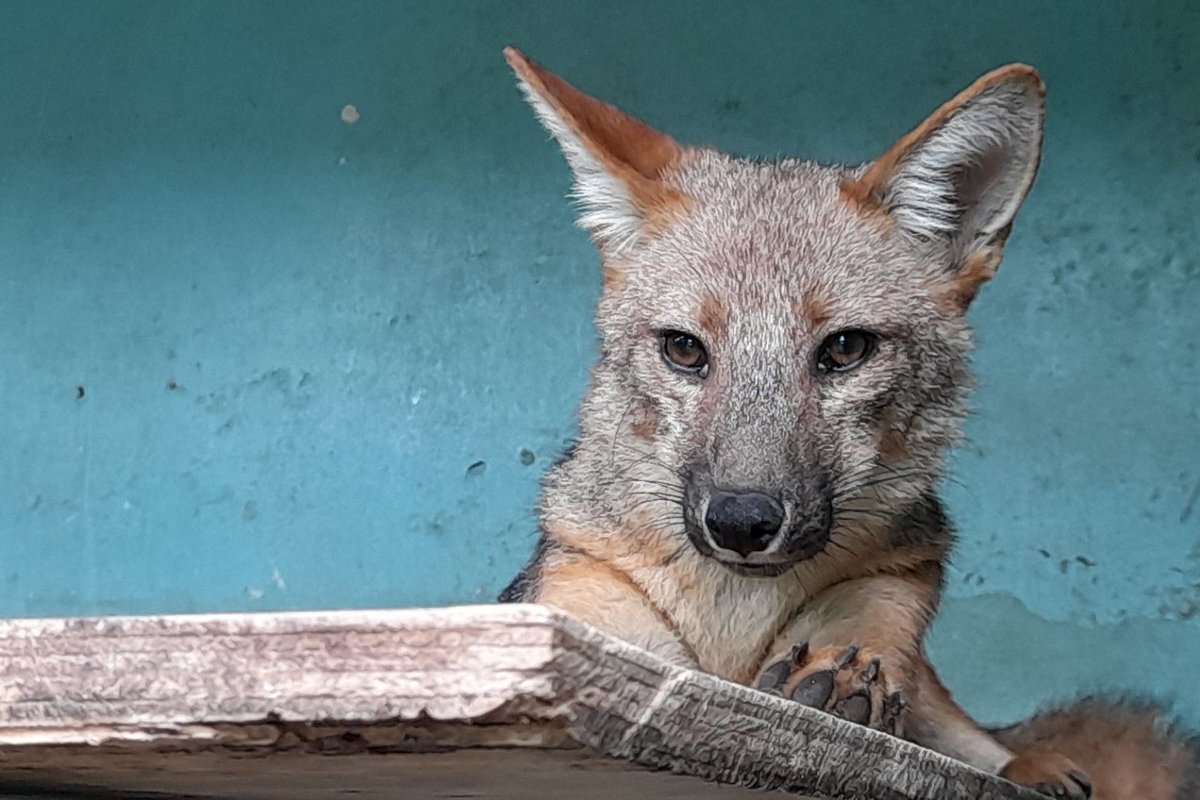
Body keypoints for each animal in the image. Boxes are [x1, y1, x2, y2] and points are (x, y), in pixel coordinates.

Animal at [495, 47, 1199, 800]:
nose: (741, 520)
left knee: (988, 742)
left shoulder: (895, 580)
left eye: (845, 348)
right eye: (684, 349)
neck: (733, 635)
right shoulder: (583, 612)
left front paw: (837, 679)